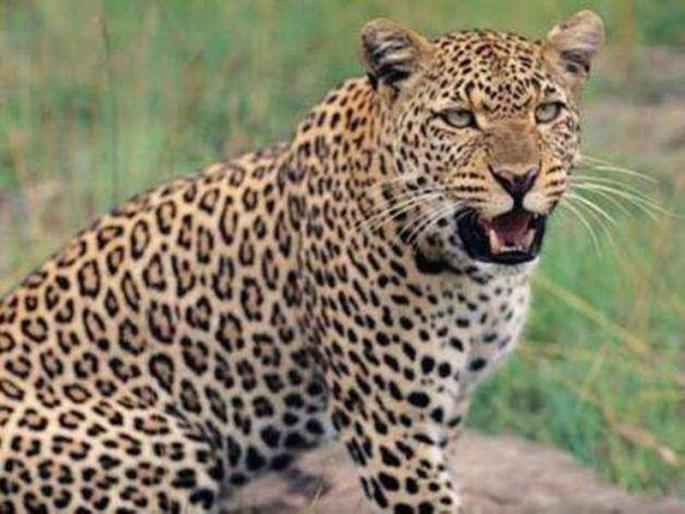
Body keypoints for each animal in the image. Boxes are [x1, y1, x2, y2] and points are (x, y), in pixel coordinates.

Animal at [0, 10, 604, 514]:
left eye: (546, 112)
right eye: (458, 118)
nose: (518, 178)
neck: (477, 280)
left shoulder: (449, 405)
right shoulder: (390, 422)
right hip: (163, 449)